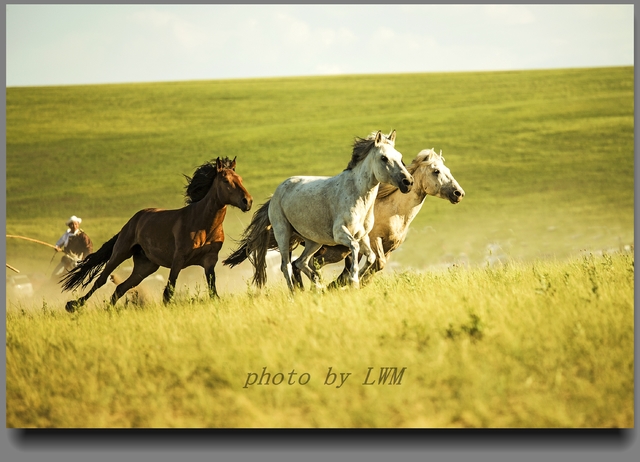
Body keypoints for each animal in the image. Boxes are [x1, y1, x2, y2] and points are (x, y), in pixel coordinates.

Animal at [60, 157, 252, 312]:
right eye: (226, 180)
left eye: (241, 179)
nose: (247, 201)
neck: (203, 224)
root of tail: (133, 220)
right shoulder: (178, 260)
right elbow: (168, 292)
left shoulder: (209, 261)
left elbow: (213, 292)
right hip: (120, 253)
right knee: (101, 280)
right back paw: (73, 305)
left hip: (146, 266)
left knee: (120, 288)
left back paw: (109, 310)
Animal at [225, 148, 464, 288]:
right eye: (436, 171)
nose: (458, 193)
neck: (394, 211)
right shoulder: (372, 240)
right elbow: (373, 263)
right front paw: (347, 282)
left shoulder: (386, 246)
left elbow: (377, 265)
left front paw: (352, 282)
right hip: (299, 240)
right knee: (292, 265)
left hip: (317, 245)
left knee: (299, 264)